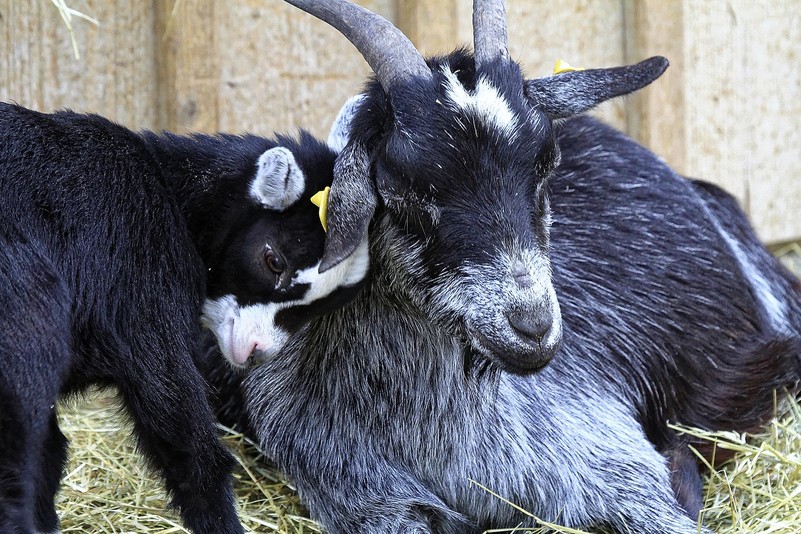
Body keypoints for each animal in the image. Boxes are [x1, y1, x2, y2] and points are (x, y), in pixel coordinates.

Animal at [0, 104, 368, 534]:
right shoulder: (144, 298)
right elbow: (187, 443)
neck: (175, 195)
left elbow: (50, 457)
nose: (256, 351)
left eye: (323, 304)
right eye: (273, 259)